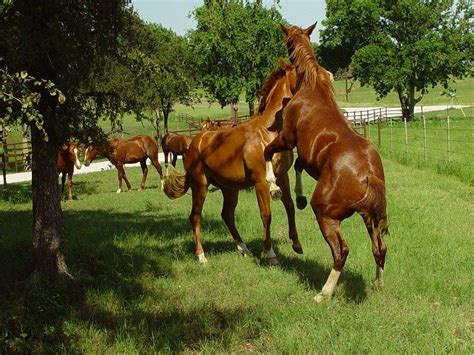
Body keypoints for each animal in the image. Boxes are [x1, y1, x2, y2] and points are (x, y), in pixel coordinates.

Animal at [165, 58, 302, 264]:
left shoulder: (283, 177)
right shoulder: (261, 182)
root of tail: (193, 144)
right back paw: (202, 256)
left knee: (227, 215)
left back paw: (244, 249)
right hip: (200, 186)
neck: (267, 132)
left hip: (230, 188)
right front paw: (270, 254)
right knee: (195, 216)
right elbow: (266, 214)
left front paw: (296, 244)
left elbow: (290, 208)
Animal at [262, 23, 388, 304]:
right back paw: (377, 283)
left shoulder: (287, 138)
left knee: (342, 251)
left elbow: (267, 152)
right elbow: (298, 166)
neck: (312, 84)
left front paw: (274, 186)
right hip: (370, 216)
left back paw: (324, 292)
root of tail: (368, 175)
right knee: (380, 247)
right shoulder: (307, 157)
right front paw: (298, 197)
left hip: (326, 214)